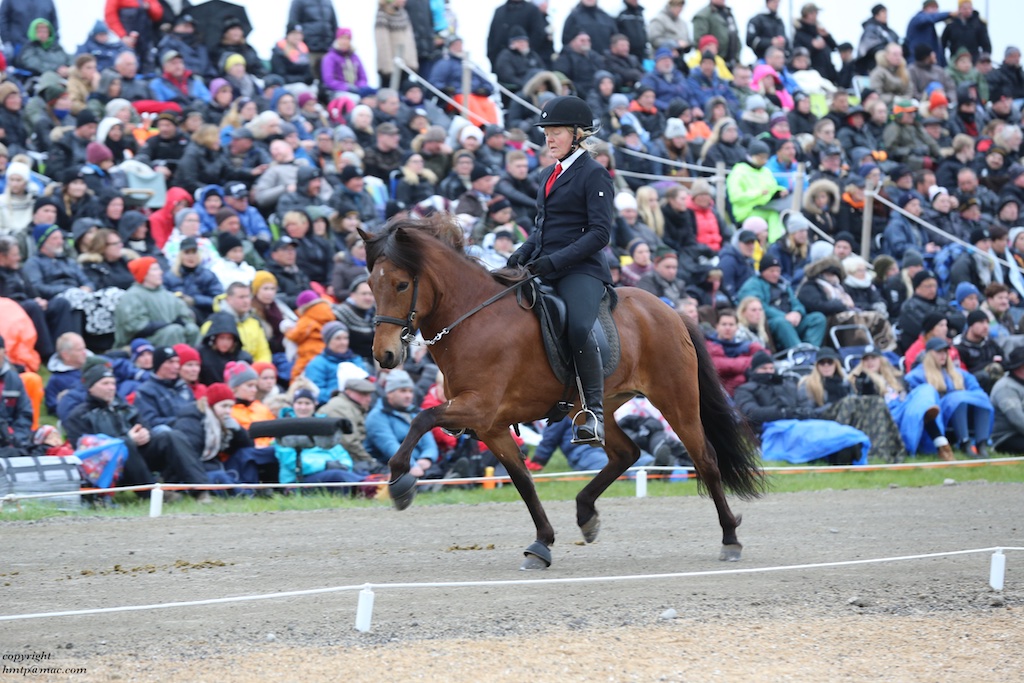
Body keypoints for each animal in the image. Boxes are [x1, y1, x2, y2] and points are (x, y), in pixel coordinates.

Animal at [358, 219, 761, 573]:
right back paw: (586, 513)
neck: (474, 321)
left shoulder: (478, 409)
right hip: (593, 407)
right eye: (371, 285)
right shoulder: (491, 426)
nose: (384, 354)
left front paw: (401, 483)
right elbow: (523, 481)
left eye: (401, 284)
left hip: (676, 399)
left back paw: (730, 539)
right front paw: (542, 545)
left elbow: (421, 418)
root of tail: (670, 311)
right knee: (626, 452)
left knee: (705, 459)